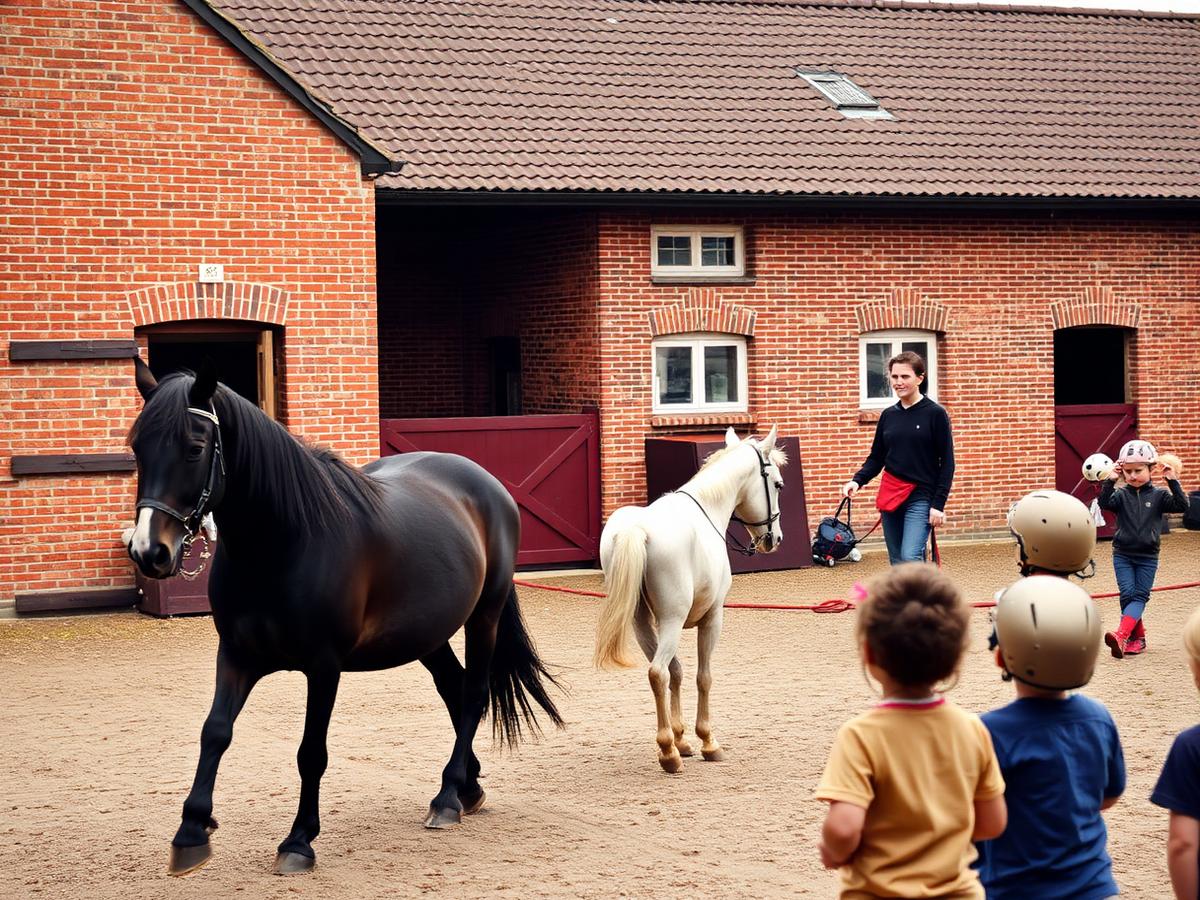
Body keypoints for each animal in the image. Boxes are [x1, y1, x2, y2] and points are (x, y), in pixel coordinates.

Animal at [125, 358, 563, 876]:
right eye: (137, 447)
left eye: (194, 448)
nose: (149, 552)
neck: (283, 543)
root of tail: (486, 482)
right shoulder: (235, 654)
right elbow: (214, 732)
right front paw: (191, 830)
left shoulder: (323, 665)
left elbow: (310, 752)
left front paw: (298, 840)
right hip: (426, 634)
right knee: (453, 690)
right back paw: (467, 787)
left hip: (484, 617)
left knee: (474, 693)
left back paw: (447, 797)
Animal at [593, 426, 786, 773]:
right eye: (777, 484)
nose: (774, 539)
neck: (708, 510)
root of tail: (635, 530)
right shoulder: (712, 618)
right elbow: (703, 677)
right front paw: (707, 741)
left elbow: (679, 673)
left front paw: (682, 739)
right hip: (671, 620)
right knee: (657, 672)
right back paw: (667, 754)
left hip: (642, 624)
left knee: (662, 672)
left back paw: (671, 746)